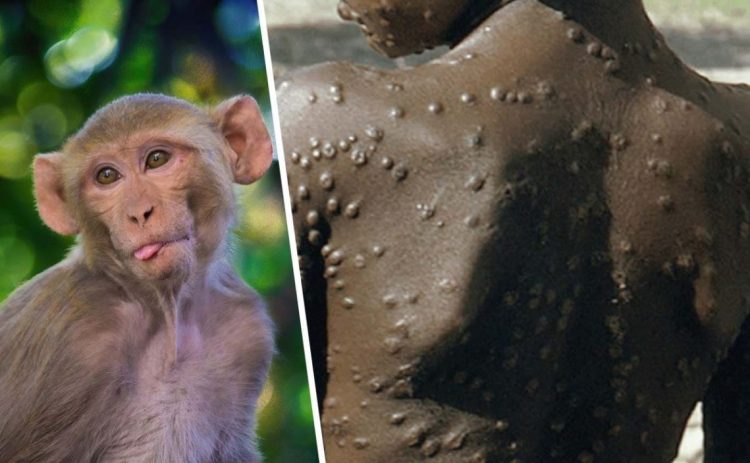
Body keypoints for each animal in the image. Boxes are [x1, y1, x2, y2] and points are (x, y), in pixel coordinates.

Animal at [0, 93, 275, 462]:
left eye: (157, 159)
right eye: (106, 176)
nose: (138, 213)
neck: (166, 313)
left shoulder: (248, 330)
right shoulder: (70, 334)